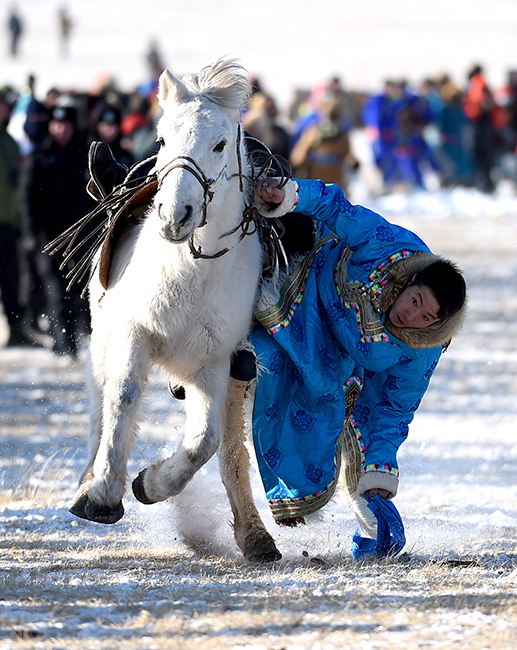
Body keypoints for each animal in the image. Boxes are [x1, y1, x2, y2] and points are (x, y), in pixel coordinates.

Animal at [70, 59, 280, 560]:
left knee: (229, 448)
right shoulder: (134, 334)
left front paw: (150, 484)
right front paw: (102, 493)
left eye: (220, 144)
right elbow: (122, 398)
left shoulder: (214, 363)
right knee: (99, 401)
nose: (173, 214)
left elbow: (204, 442)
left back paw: (254, 535)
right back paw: (88, 479)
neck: (189, 269)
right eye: (162, 139)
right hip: (102, 337)